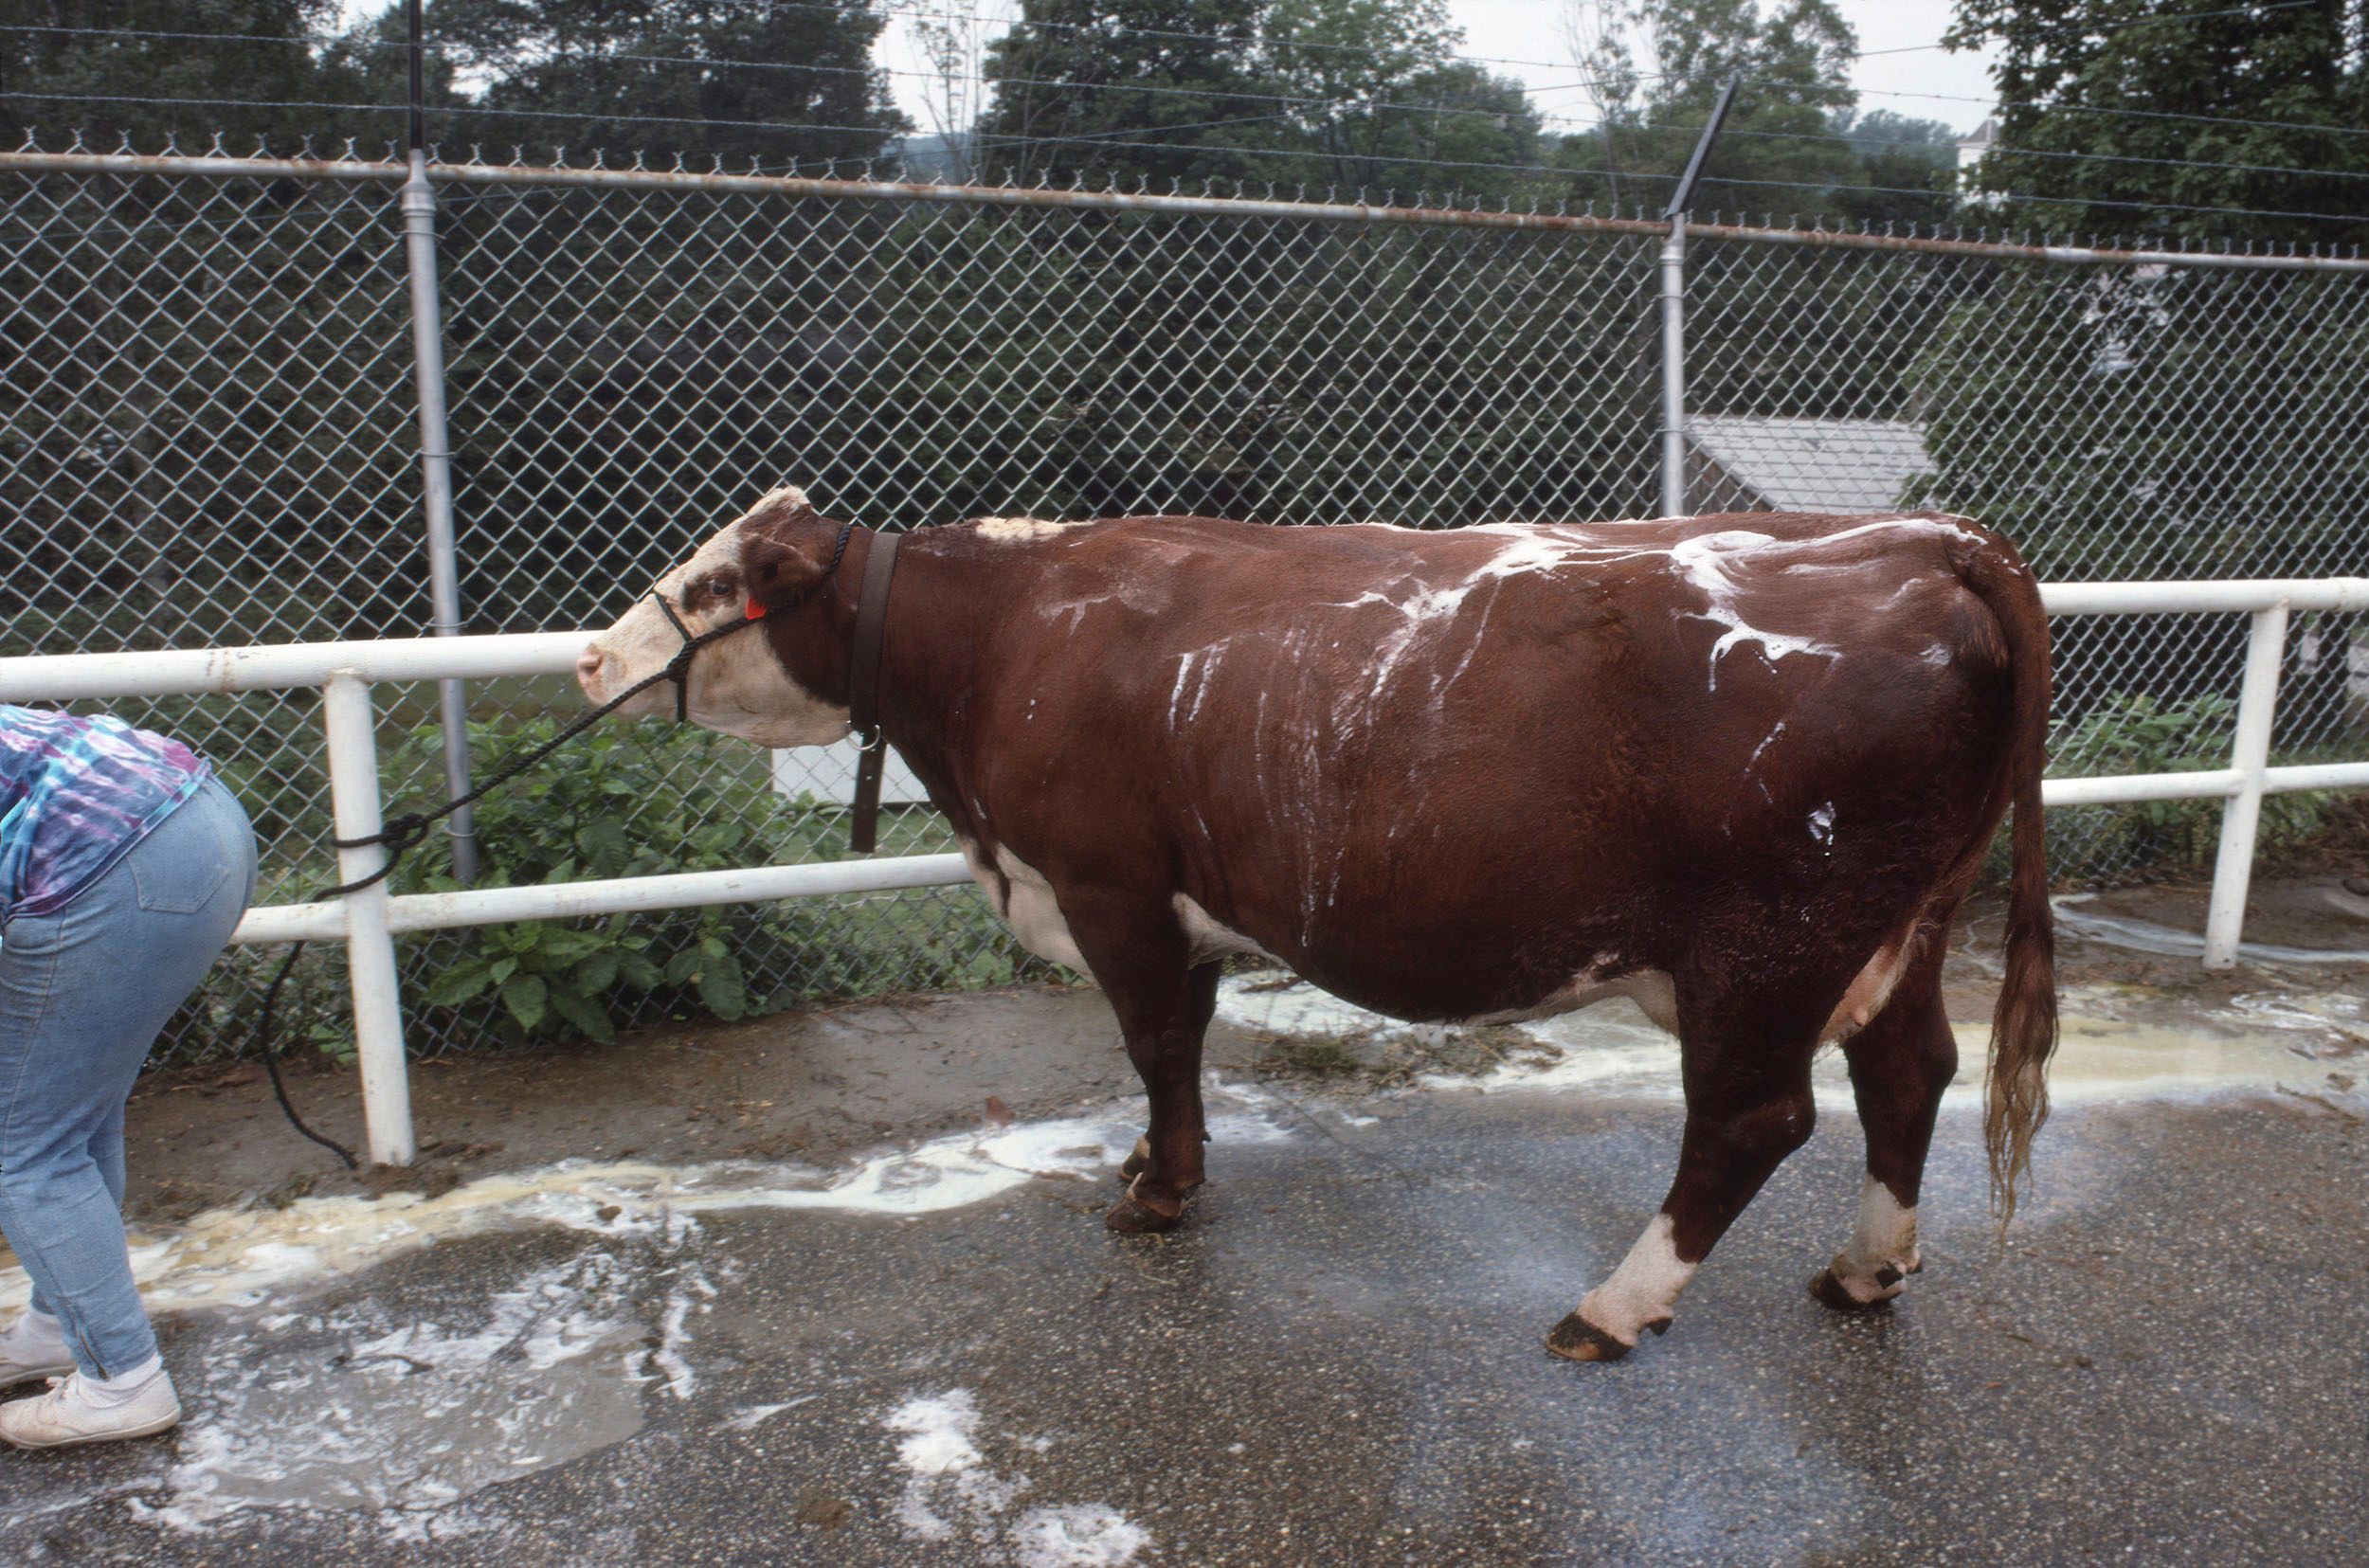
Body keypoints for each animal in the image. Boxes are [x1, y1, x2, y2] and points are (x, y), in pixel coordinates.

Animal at [578, 493, 2056, 1364]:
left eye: (712, 587)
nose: (590, 658)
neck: (1014, 630)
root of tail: (1920, 538)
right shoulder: (1178, 899)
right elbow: (1182, 1044)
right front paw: (1157, 1164)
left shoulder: (1111, 885)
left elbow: (1158, 1044)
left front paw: (1157, 1192)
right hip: (1899, 927)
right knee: (1908, 1072)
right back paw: (1865, 1269)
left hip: (1766, 947)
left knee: (1754, 1120)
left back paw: (1613, 1304)